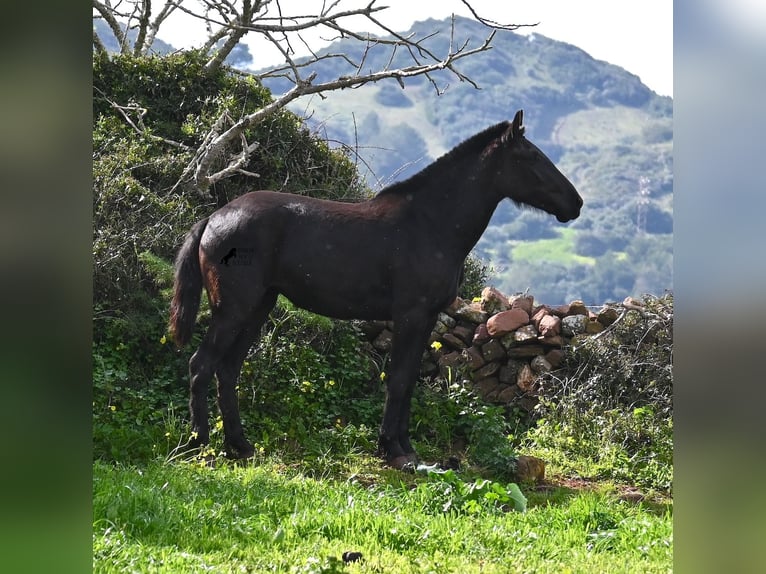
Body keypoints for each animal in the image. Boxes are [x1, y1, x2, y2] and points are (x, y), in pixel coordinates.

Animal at [169, 110, 582, 468]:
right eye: (531, 157)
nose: (575, 203)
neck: (429, 223)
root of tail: (213, 218)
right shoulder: (411, 315)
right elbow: (397, 378)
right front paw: (393, 450)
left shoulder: (425, 319)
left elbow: (409, 379)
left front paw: (404, 447)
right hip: (234, 310)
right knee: (201, 365)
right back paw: (199, 445)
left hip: (257, 308)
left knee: (227, 371)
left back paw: (239, 446)